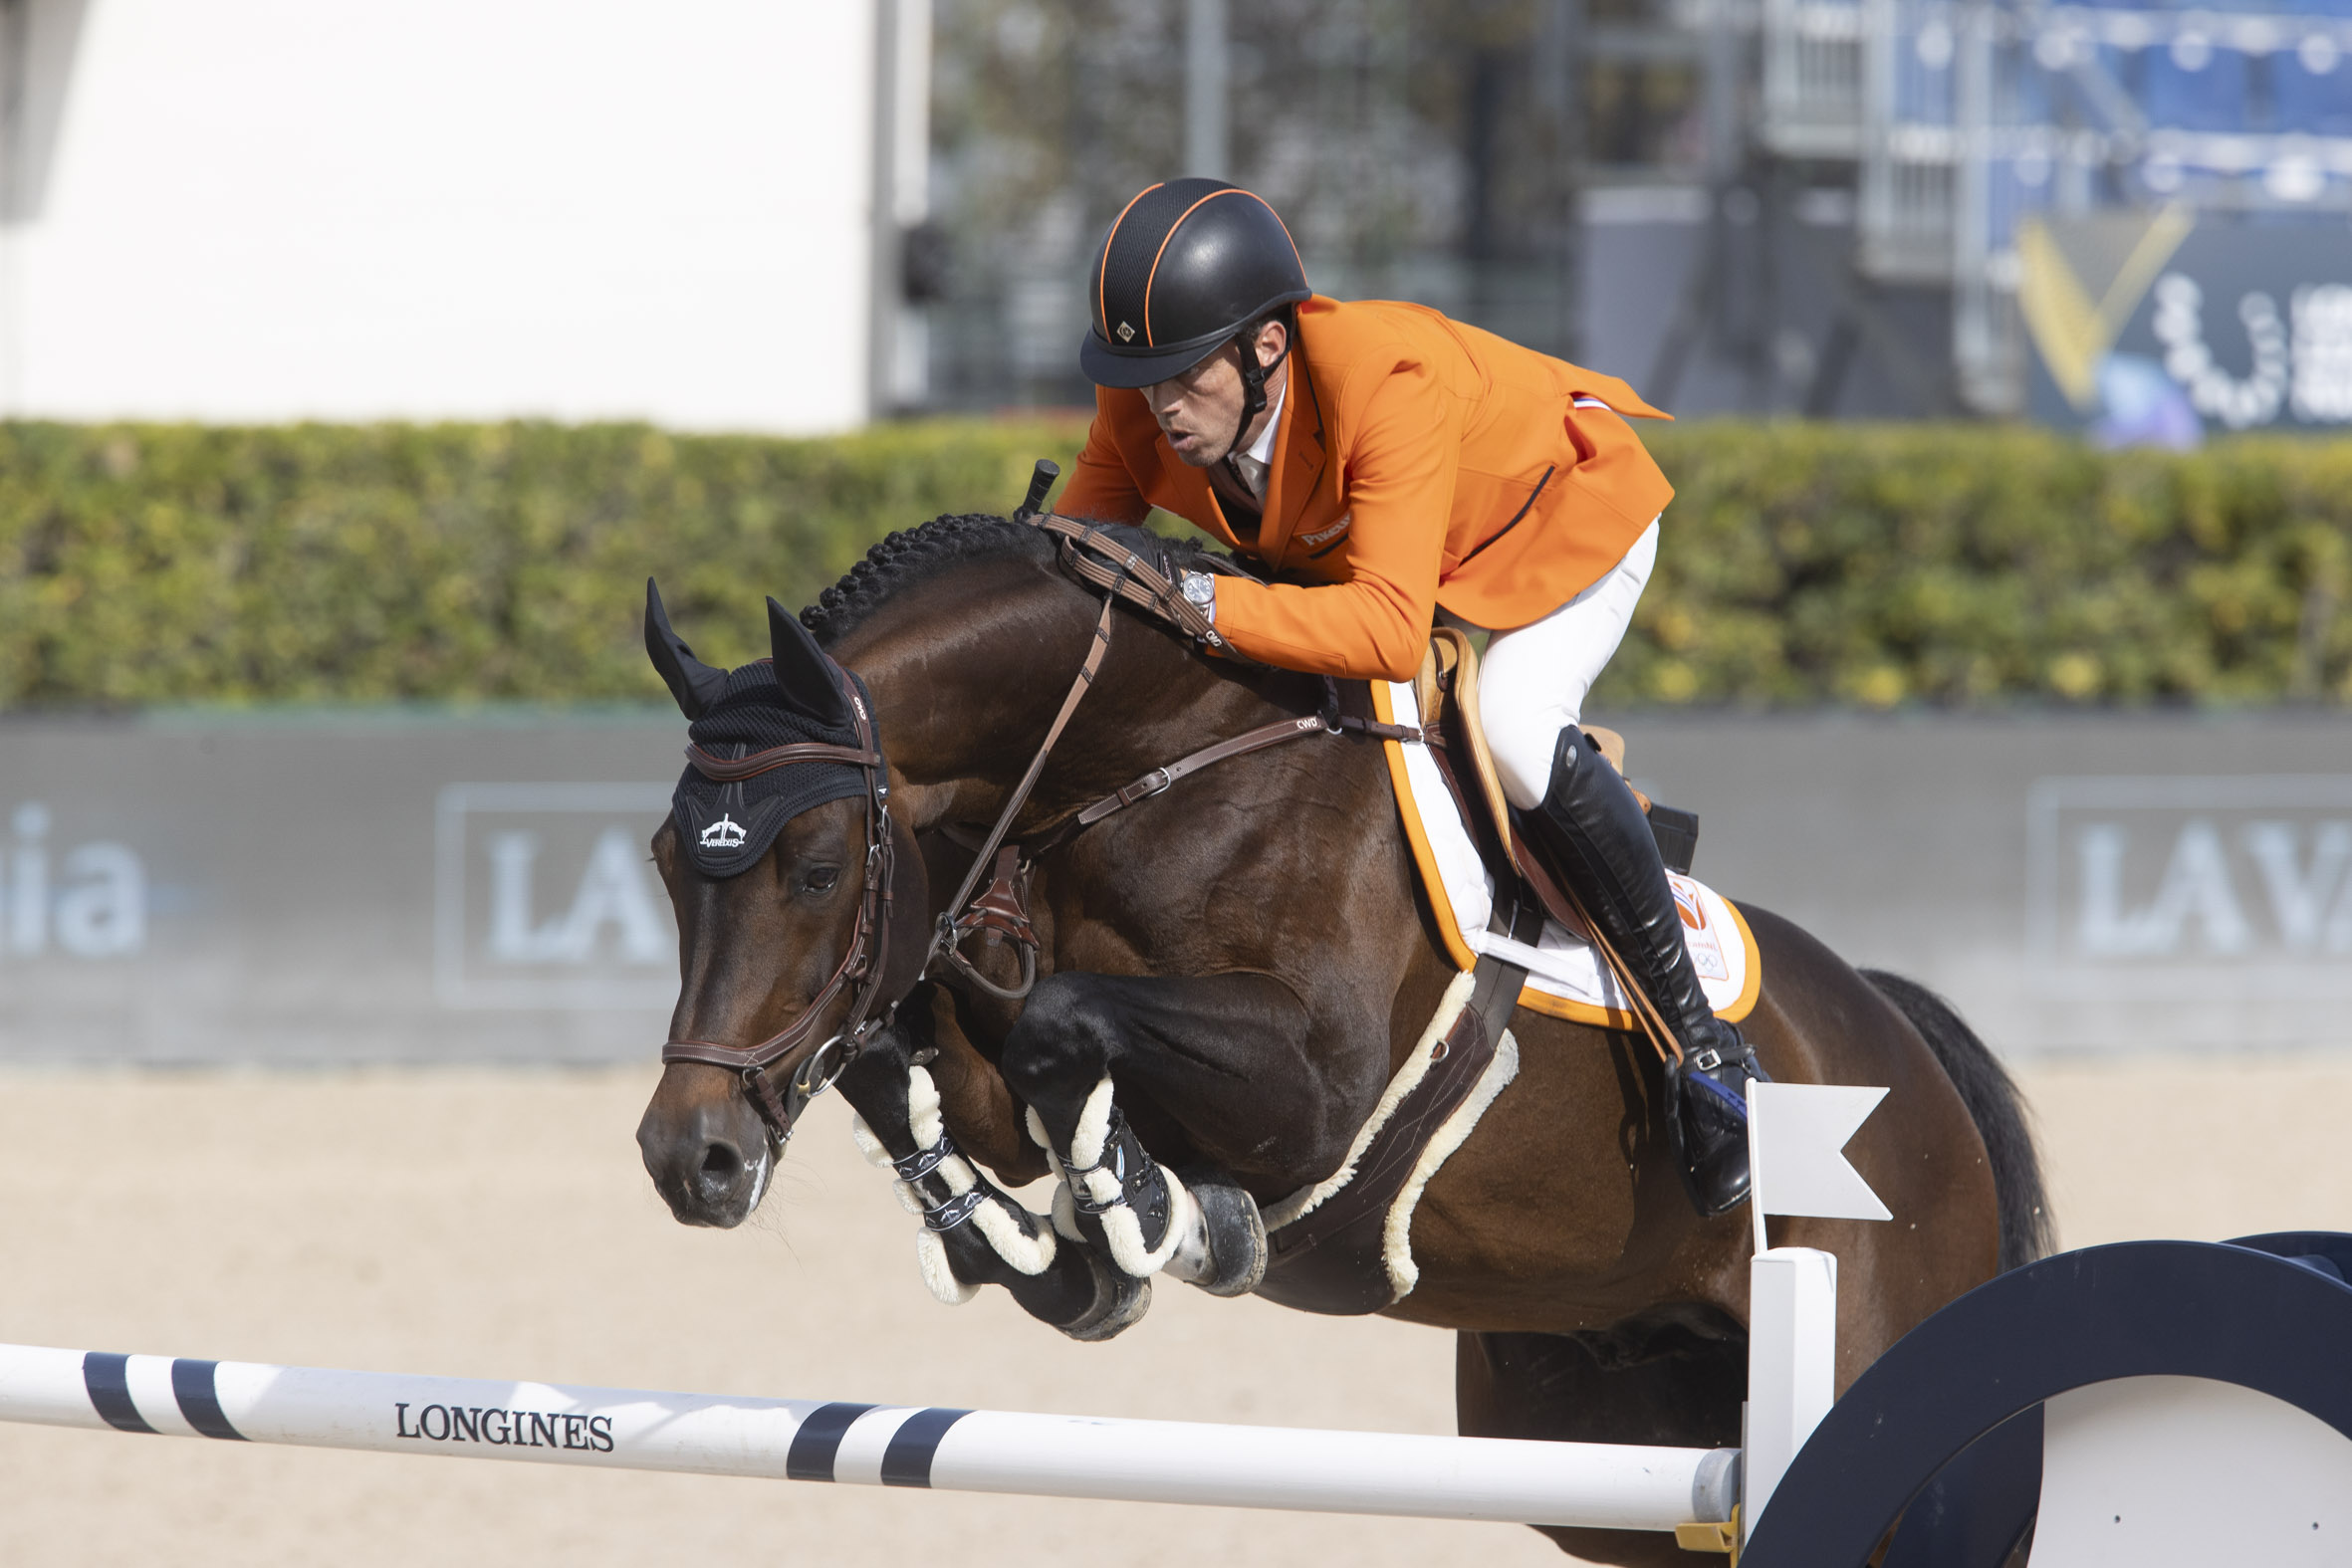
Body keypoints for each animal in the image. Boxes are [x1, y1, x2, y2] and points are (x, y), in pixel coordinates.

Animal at [634, 510, 2050, 1560]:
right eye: (663, 860)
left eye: (816, 868)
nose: (688, 1160)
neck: (1147, 766)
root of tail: (1901, 1040)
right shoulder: (975, 1040)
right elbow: (917, 1067)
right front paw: (1043, 1251)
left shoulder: (1315, 1089)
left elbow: (1064, 1027)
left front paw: (1161, 1213)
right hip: (1593, 1439)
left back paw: (1723, 1101)